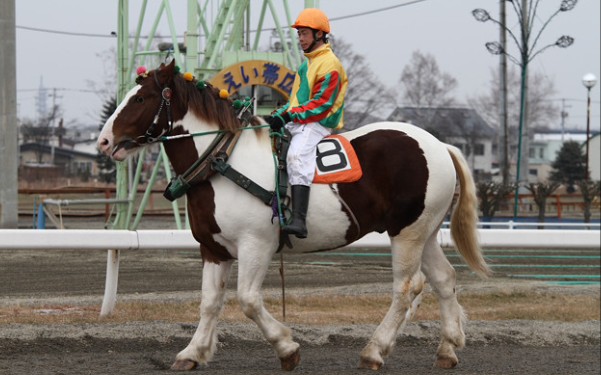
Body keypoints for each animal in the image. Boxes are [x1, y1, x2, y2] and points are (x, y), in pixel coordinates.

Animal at [97, 60, 488, 372]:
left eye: (140, 98)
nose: (102, 141)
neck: (221, 161)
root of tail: (440, 144)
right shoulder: (213, 249)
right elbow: (209, 302)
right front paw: (193, 352)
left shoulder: (256, 245)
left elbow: (248, 300)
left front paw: (286, 347)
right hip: (424, 232)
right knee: (443, 279)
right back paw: (447, 348)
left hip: (407, 234)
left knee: (406, 288)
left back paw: (375, 350)